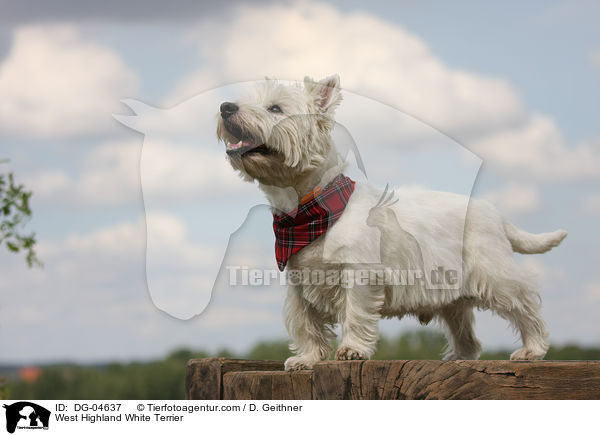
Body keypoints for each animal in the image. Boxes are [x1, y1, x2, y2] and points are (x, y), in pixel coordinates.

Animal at [216, 74, 568, 368]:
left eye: (275, 108)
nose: (225, 107)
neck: (308, 212)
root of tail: (496, 215)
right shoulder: (300, 284)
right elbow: (307, 325)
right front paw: (308, 358)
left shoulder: (358, 274)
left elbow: (354, 314)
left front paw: (351, 351)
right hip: (452, 297)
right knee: (467, 333)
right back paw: (458, 357)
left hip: (494, 273)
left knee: (525, 304)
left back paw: (532, 349)